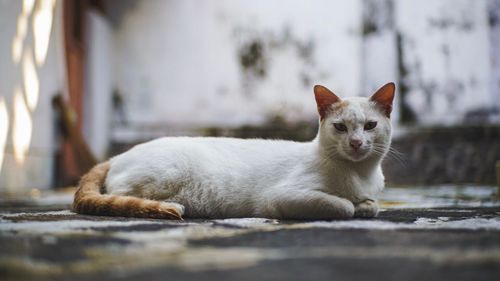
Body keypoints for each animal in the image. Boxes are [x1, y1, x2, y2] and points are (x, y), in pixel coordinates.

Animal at [73, 82, 394, 220]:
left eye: (370, 125)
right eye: (340, 127)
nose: (356, 143)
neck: (359, 174)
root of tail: (117, 156)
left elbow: (371, 205)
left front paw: (365, 205)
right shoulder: (280, 197)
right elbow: (343, 206)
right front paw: (353, 206)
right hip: (168, 172)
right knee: (120, 196)